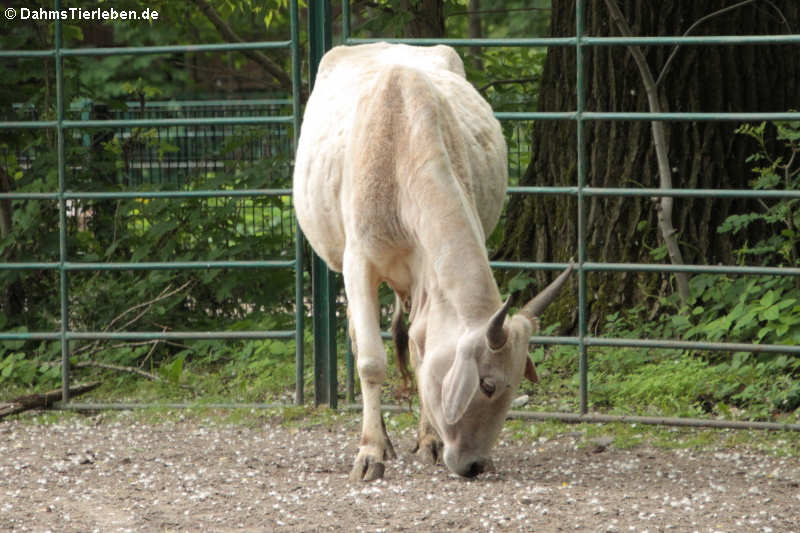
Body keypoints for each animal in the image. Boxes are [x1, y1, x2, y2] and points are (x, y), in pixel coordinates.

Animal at [294, 43, 576, 480]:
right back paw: (382, 439)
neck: (398, 144)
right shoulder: (359, 263)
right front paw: (371, 453)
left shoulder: (426, 272)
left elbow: (421, 349)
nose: (475, 465)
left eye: (514, 385)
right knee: (360, 341)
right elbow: (371, 361)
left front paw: (430, 441)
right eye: (487, 384)